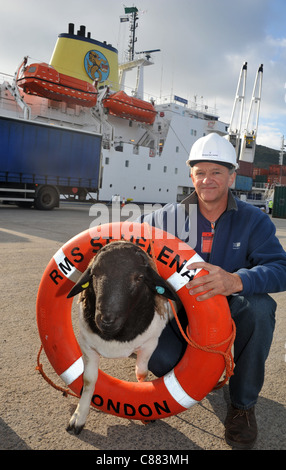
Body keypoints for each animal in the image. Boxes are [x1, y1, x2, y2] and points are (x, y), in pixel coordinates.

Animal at [65, 241, 175, 436]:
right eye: (95, 273)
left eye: (139, 278)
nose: (106, 320)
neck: (115, 337)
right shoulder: (86, 345)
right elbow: (89, 379)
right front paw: (79, 416)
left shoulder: (150, 343)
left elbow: (142, 373)